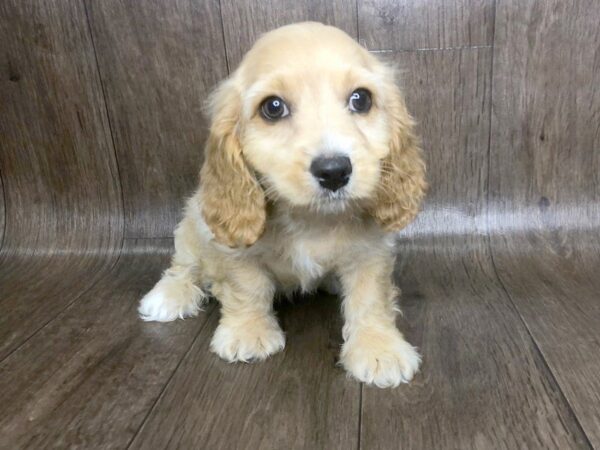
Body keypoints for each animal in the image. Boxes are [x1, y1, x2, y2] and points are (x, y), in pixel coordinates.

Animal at [139, 22, 426, 386]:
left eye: (361, 99)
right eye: (273, 107)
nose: (334, 171)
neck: (310, 219)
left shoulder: (371, 251)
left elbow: (370, 297)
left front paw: (378, 348)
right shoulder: (236, 251)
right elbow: (246, 286)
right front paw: (247, 332)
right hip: (192, 224)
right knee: (184, 265)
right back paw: (168, 296)